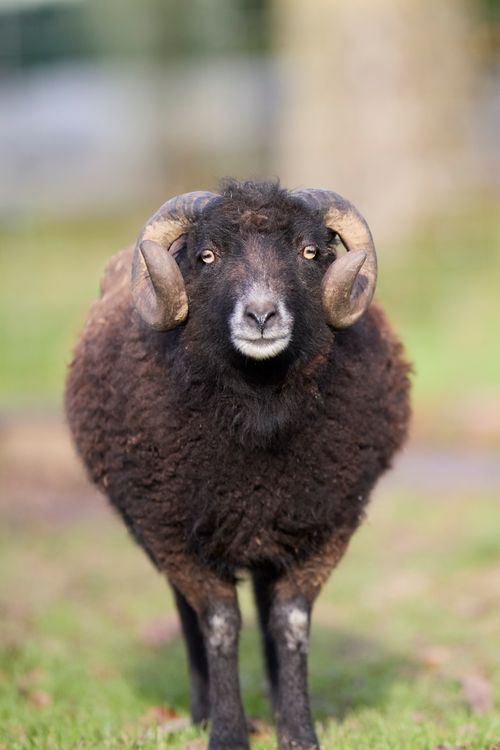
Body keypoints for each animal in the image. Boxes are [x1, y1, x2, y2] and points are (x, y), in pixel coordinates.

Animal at [65, 179, 411, 750]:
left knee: (268, 606)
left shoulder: (326, 525)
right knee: (188, 616)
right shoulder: (172, 532)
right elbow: (220, 624)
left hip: (274, 532)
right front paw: (227, 731)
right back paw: (202, 709)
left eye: (309, 252)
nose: (262, 316)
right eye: (207, 256)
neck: (260, 412)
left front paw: (299, 731)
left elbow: (291, 623)